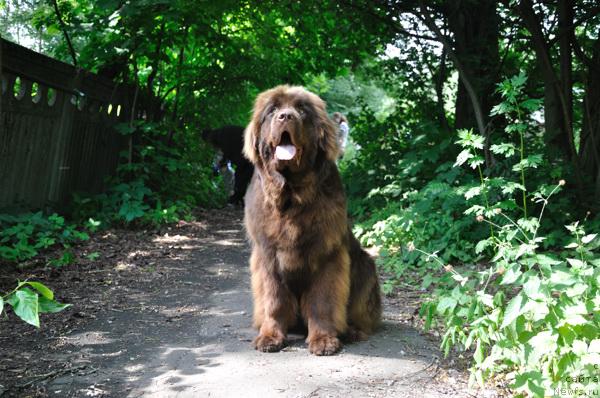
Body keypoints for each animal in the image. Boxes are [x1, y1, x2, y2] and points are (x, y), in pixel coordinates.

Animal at [243, 85, 380, 356]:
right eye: (272, 110)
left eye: (302, 110)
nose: (285, 116)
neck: (291, 197)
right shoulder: (267, 256)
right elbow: (273, 301)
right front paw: (270, 336)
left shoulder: (327, 255)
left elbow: (322, 301)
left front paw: (324, 340)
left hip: (366, 266)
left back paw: (352, 331)